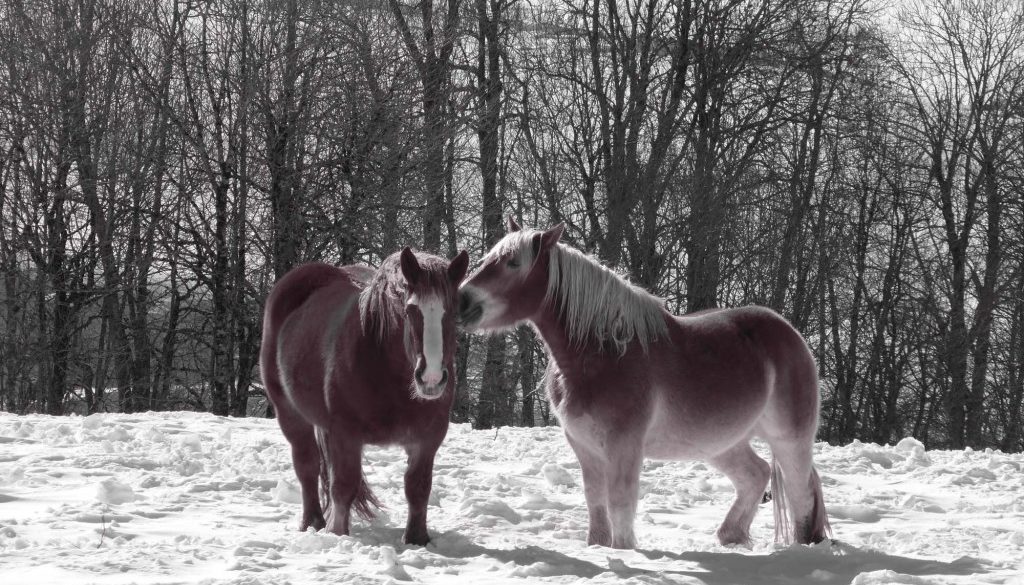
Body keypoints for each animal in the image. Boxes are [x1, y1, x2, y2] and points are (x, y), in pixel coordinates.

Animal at [264, 246, 471, 545]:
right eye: (410, 310)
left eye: (454, 312)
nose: (431, 377)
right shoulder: (346, 434)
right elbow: (343, 484)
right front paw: (338, 534)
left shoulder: (428, 439)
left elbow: (418, 487)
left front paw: (417, 539)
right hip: (290, 414)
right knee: (307, 466)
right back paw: (313, 522)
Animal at [460, 218, 827, 549]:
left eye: (513, 262)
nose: (463, 301)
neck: (603, 352)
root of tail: (789, 333)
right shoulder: (584, 446)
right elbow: (596, 503)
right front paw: (597, 548)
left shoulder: (624, 444)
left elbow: (620, 504)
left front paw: (624, 553)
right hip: (721, 443)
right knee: (756, 475)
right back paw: (731, 537)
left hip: (790, 439)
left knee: (801, 494)